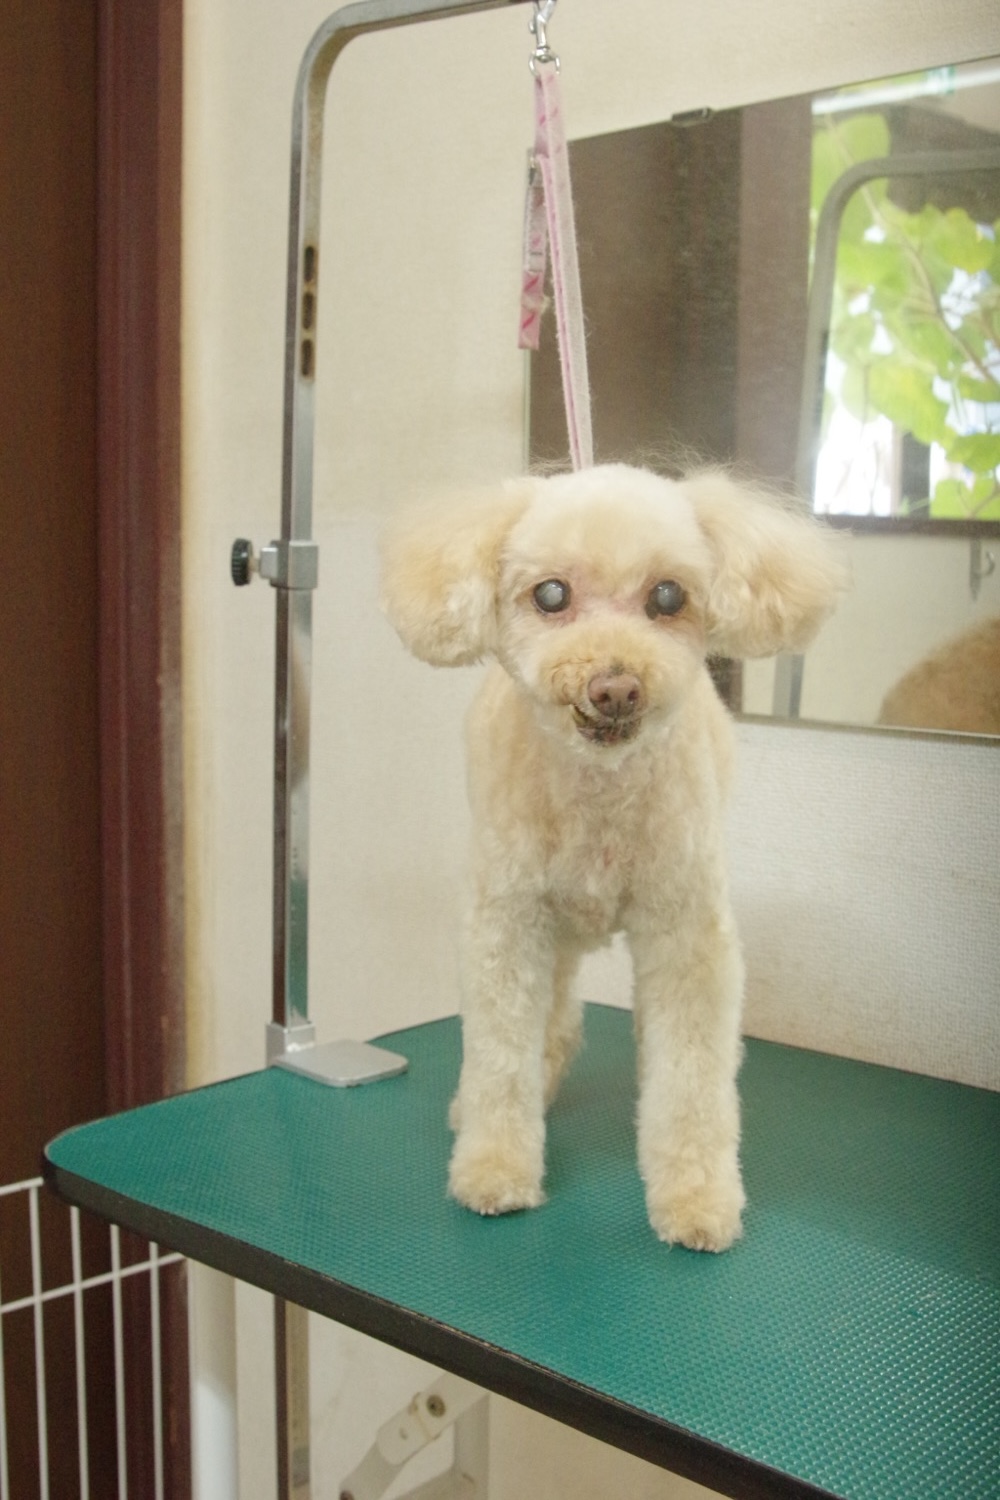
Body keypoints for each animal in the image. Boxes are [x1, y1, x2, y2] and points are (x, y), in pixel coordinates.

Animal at [380, 464, 845, 1251]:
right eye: (550, 595)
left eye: (668, 596)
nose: (616, 684)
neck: (597, 793)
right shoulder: (508, 926)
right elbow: (499, 1056)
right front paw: (494, 1166)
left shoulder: (688, 936)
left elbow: (690, 1076)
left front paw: (695, 1196)